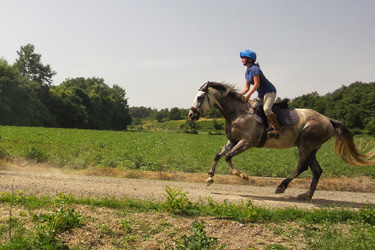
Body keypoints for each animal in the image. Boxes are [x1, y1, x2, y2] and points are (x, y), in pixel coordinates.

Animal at [189, 82, 375, 201]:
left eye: (199, 97)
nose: (191, 115)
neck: (238, 112)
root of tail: (328, 120)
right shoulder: (232, 141)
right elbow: (218, 156)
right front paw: (210, 178)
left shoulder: (247, 142)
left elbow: (228, 157)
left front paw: (243, 175)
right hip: (312, 148)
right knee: (316, 170)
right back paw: (306, 195)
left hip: (305, 145)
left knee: (302, 167)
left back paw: (281, 186)